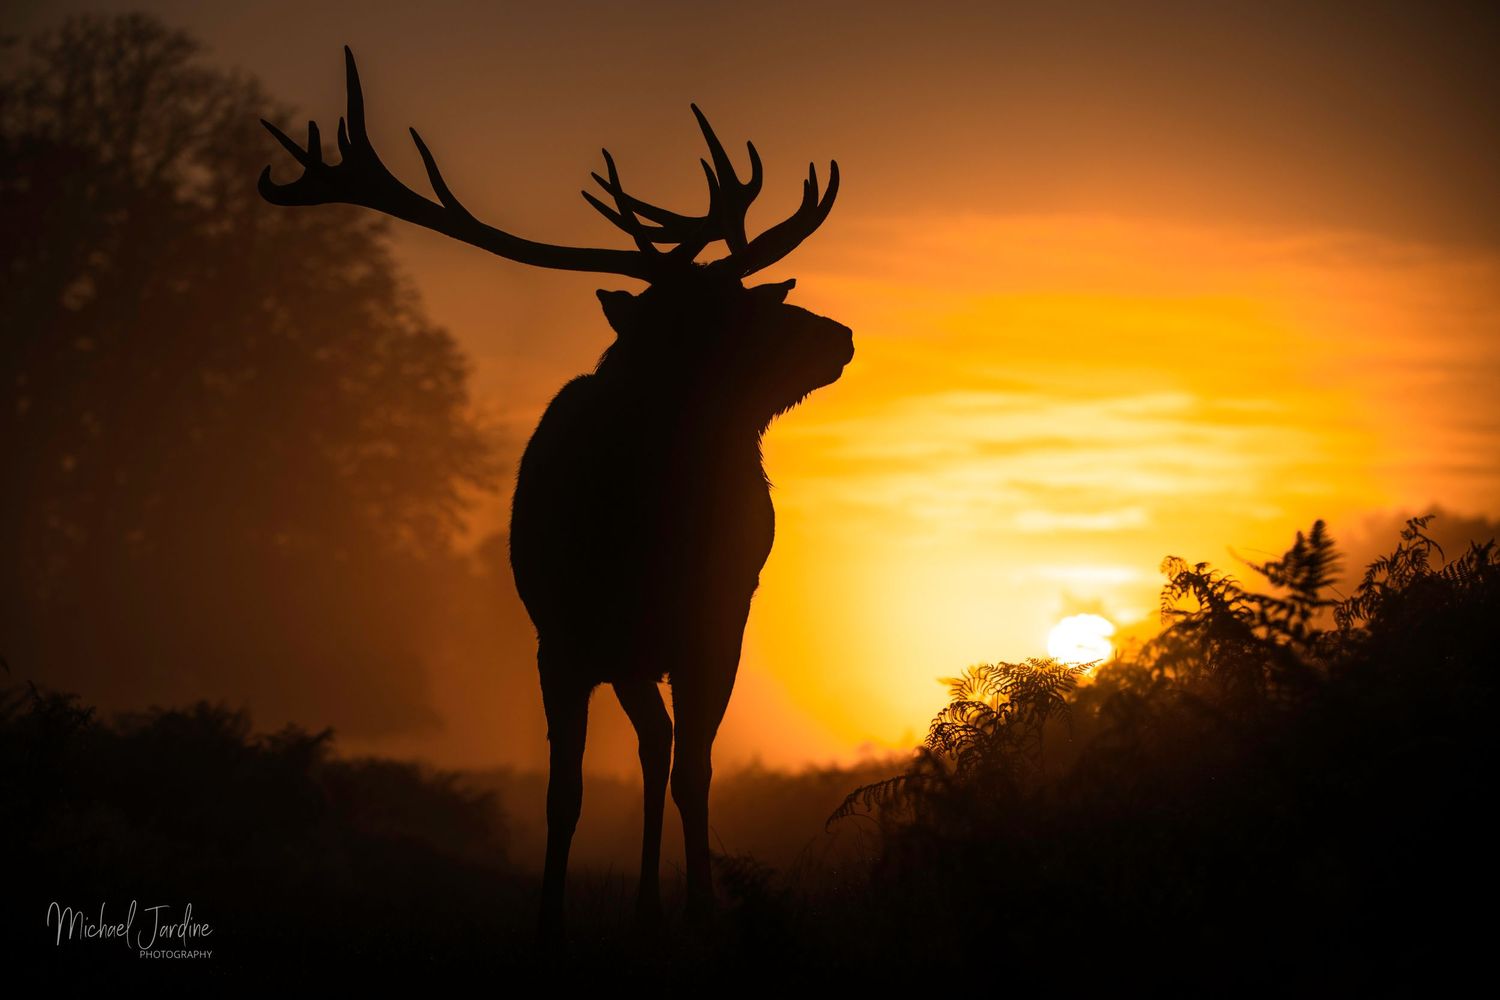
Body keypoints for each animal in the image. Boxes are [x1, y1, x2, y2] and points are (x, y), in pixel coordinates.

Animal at [258, 48, 851, 936]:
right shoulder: (560, 640)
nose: (839, 336)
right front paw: (548, 919)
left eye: (747, 292)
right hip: (615, 651)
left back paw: (653, 903)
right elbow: (562, 794)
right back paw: (642, 902)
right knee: (651, 741)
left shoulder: (716, 628)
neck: (646, 526)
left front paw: (702, 910)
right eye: (724, 314)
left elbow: (697, 775)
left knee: (663, 748)